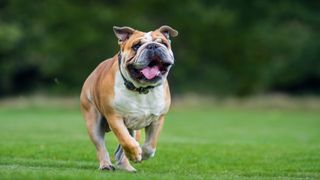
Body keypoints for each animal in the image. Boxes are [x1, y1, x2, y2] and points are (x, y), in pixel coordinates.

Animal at [80, 25, 178, 172]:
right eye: (136, 46)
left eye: (163, 43)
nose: (153, 46)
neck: (141, 89)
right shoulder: (114, 117)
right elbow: (125, 140)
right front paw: (135, 153)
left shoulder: (158, 119)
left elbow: (149, 145)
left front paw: (142, 155)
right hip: (93, 122)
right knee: (101, 146)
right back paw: (106, 165)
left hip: (134, 129)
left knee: (124, 148)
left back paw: (127, 166)